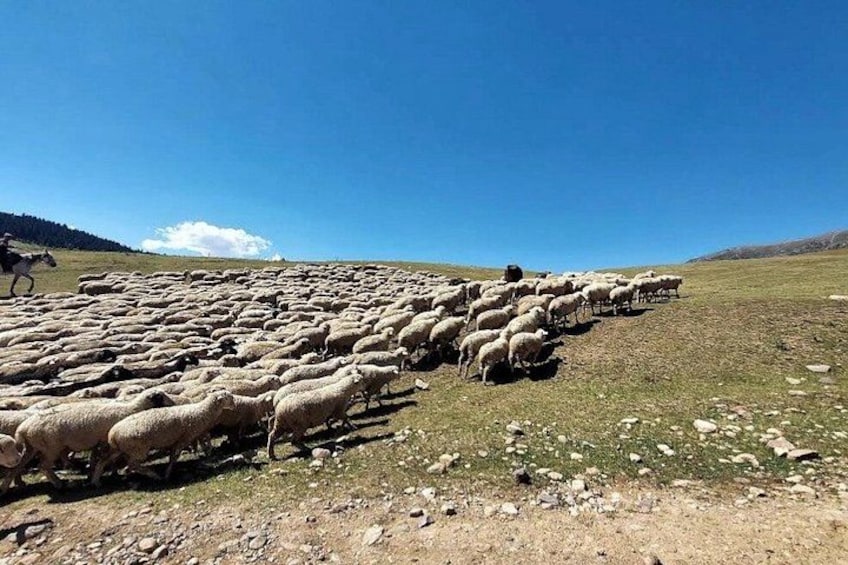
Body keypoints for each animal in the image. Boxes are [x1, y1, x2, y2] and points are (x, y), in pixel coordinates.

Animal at [97, 390, 236, 483]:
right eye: (229, 398)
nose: (234, 406)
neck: (200, 411)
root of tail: (112, 434)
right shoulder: (183, 439)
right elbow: (174, 457)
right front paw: (167, 474)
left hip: (120, 448)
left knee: (104, 459)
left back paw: (96, 480)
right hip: (138, 449)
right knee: (131, 465)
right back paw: (153, 475)